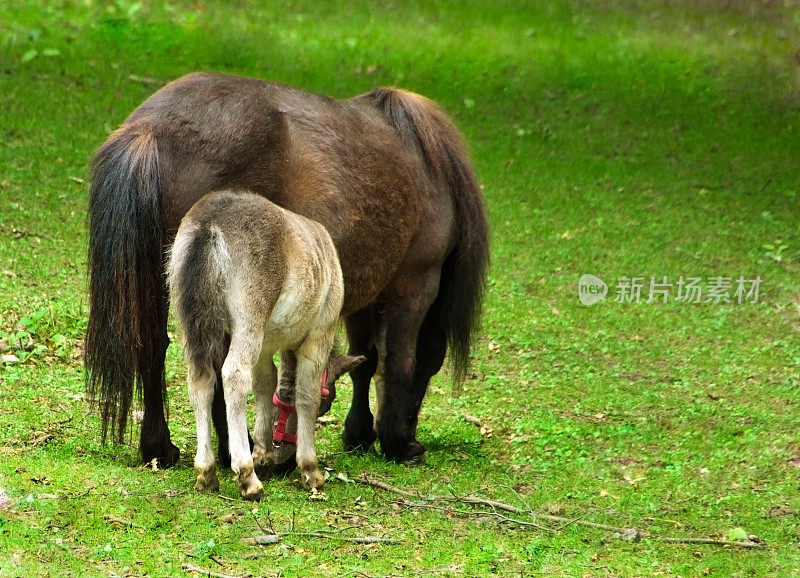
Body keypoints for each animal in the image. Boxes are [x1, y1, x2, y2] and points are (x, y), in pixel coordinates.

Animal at [86, 71, 488, 468]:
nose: (409, 434)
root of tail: (150, 128)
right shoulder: (416, 282)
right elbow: (400, 362)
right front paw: (396, 442)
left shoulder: (365, 293)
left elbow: (365, 360)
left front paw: (359, 434)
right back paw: (233, 449)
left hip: (162, 280)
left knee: (153, 348)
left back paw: (159, 448)